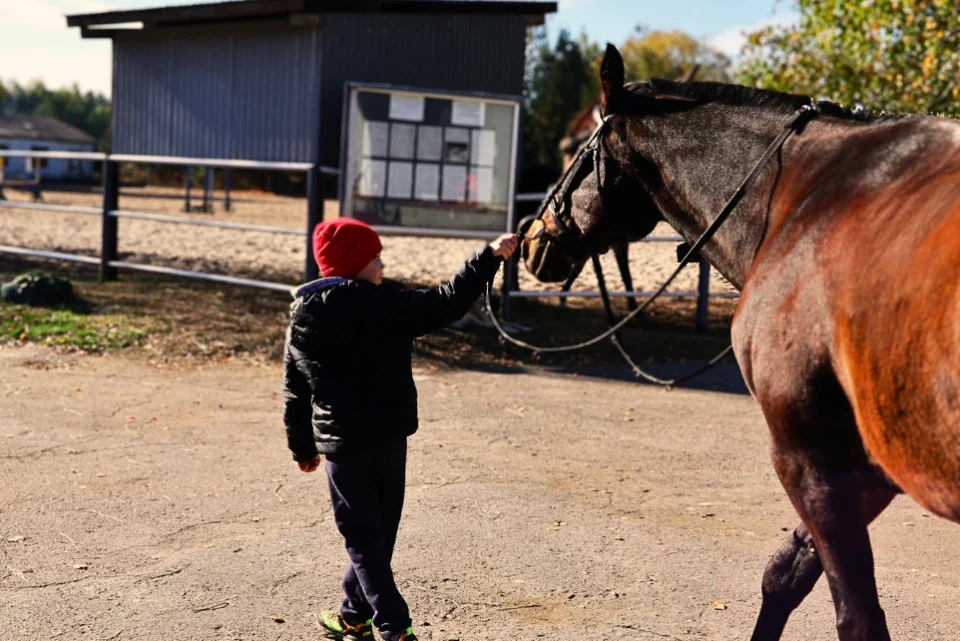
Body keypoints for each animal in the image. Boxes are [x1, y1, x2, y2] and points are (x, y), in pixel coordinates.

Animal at [524, 42, 960, 636]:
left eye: (577, 150)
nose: (532, 240)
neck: (803, 196)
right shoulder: (874, 463)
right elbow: (785, 574)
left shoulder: (810, 456)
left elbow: (853, 614)